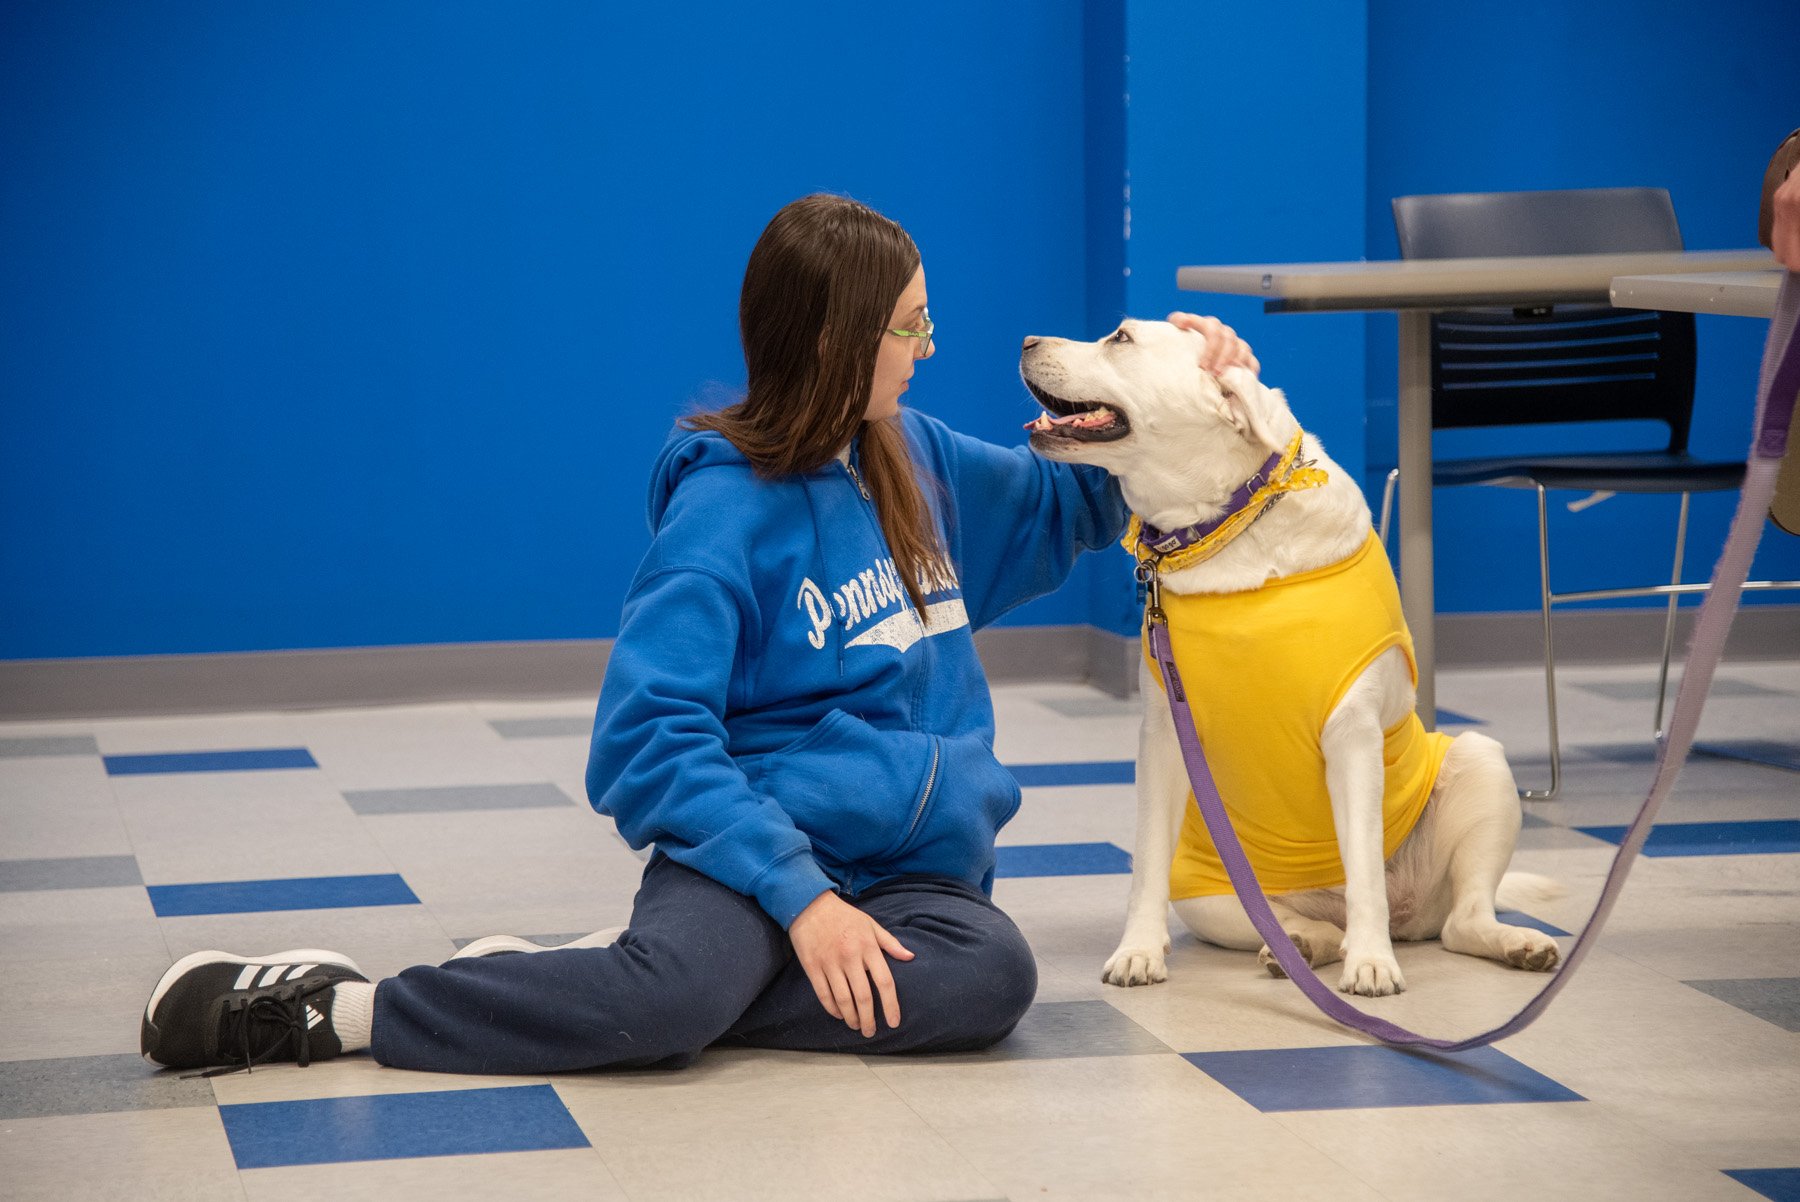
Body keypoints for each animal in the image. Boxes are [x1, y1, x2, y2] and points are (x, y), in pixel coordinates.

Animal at [1029, 318, 1562, 993]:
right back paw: (1302, 946)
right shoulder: (1163, 736)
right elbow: (1144, 862)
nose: (1025, 342)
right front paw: (1139, 951)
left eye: (1120, 338)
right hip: (1211, 888)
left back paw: (1507, 943)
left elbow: (1364, 870)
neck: (1229, 528)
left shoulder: (1353, 735)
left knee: (1461, 918)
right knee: (1288, 923)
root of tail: (1414, 916)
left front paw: (1372, 963)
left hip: (1480, 762)